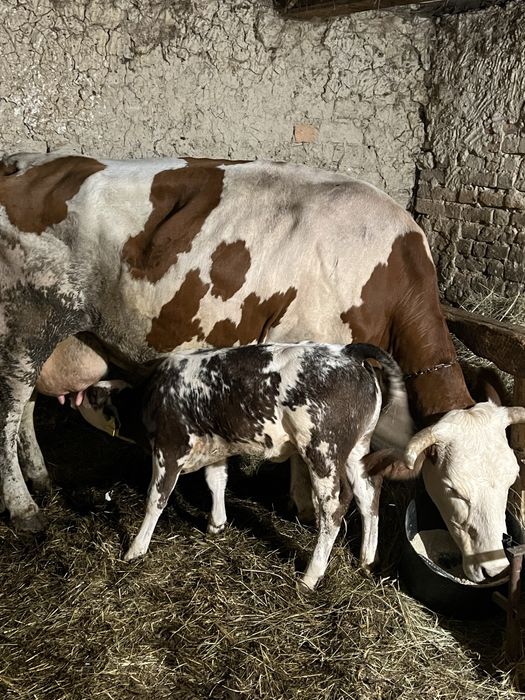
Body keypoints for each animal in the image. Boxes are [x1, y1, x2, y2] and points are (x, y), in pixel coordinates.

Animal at [1, 151, 524, 583]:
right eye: (452, 489)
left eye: (510, 481)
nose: (495, 568)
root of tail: (26, 160)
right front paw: (304, 505)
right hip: (25, 325)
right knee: (8, 412)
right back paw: (25, 509)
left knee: (25, 410)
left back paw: (41, 478)